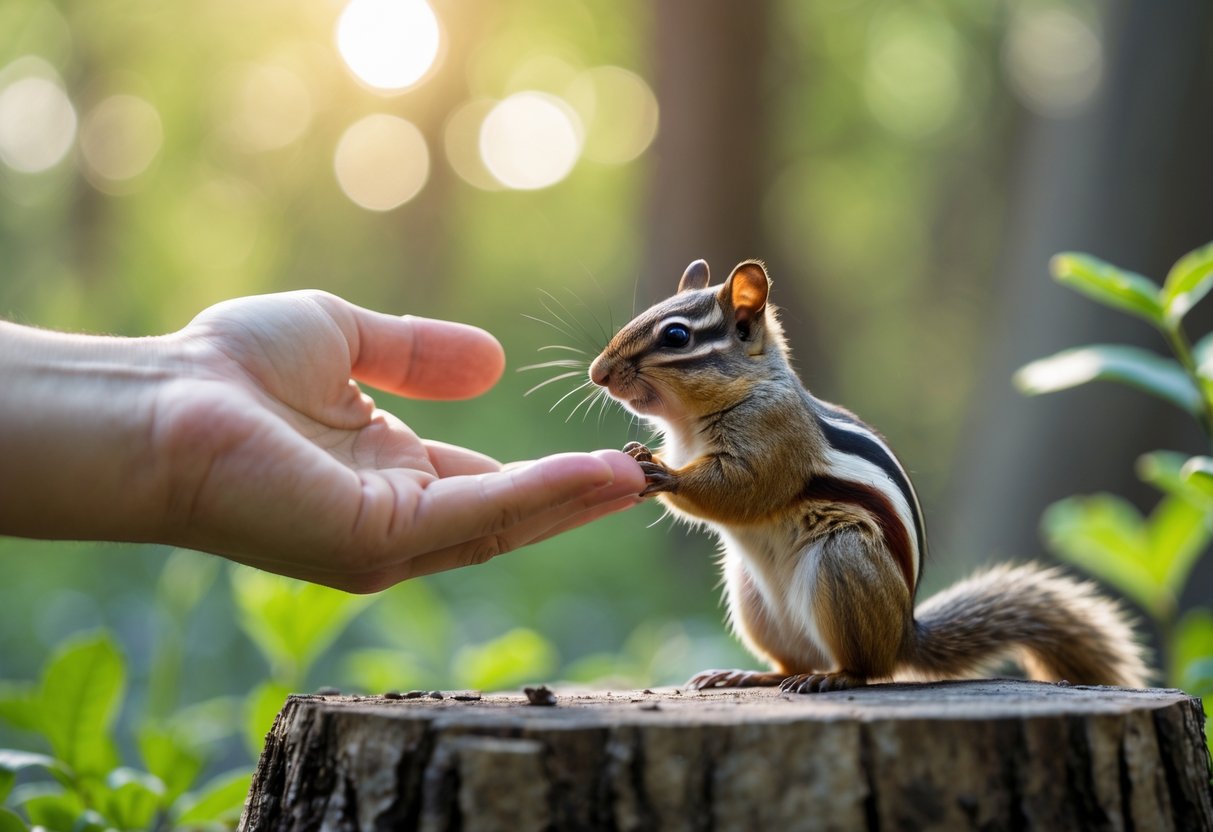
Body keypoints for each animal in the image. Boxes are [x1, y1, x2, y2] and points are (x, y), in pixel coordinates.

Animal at [588, 259, 1149, 693]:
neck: (691, 422)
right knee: (792, 661)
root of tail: (904, 633)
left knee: (867, 669)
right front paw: (640, 452)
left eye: (676, 336)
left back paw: (835, 678)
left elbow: (741, 489)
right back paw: (750, 675)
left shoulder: (774, 440)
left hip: (843, 560)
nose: (598, 373)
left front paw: (664, 473)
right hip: (752, 600)